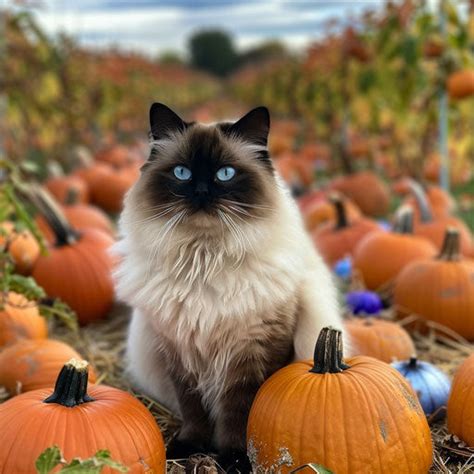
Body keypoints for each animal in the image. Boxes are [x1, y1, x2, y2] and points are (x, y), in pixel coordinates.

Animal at [115, 103, 344, 470]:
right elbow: (193, 411)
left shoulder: (254, 352)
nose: (202, 193)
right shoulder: (179, 353)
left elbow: (240, 413)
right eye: (182, 173)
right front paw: (189, 448)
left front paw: (235, 458)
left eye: (225, 174)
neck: (205, 260)